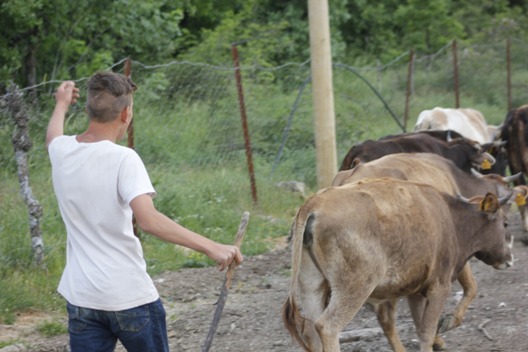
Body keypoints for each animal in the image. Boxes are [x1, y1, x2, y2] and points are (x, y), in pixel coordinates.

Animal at [282, 179, 512, 352]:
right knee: (327, 327)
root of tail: (313, 205)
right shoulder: (439, 287)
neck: (450, 218)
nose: (509, 258)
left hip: (312, 286)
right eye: (505, 223)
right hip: (354, 288)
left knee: (311, 330)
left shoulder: (416, 292)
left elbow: (421, 328)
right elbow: (427, 332)